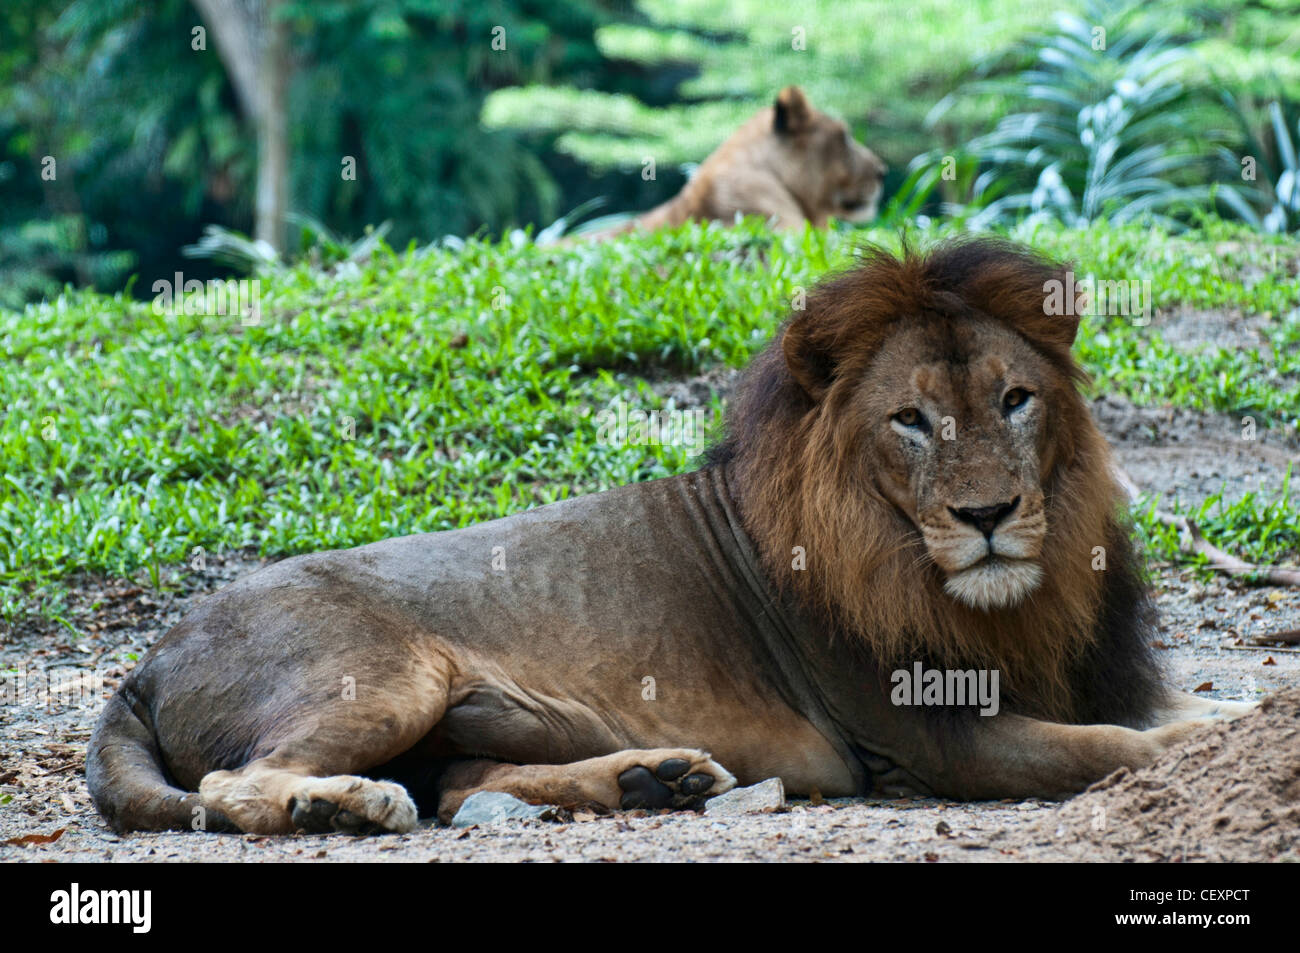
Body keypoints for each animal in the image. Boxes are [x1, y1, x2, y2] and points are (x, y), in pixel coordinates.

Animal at [87, 238, 1254, 835]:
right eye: (910, 420)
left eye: (1015, 399)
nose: (987, 515)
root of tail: (143, 664)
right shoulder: (932, 738)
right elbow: (1109, 747)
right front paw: (1191, 752)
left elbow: (1185, 709)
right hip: (387, 674)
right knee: (239, 790)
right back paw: (347, 804)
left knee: (458, 784)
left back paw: (655, 778)